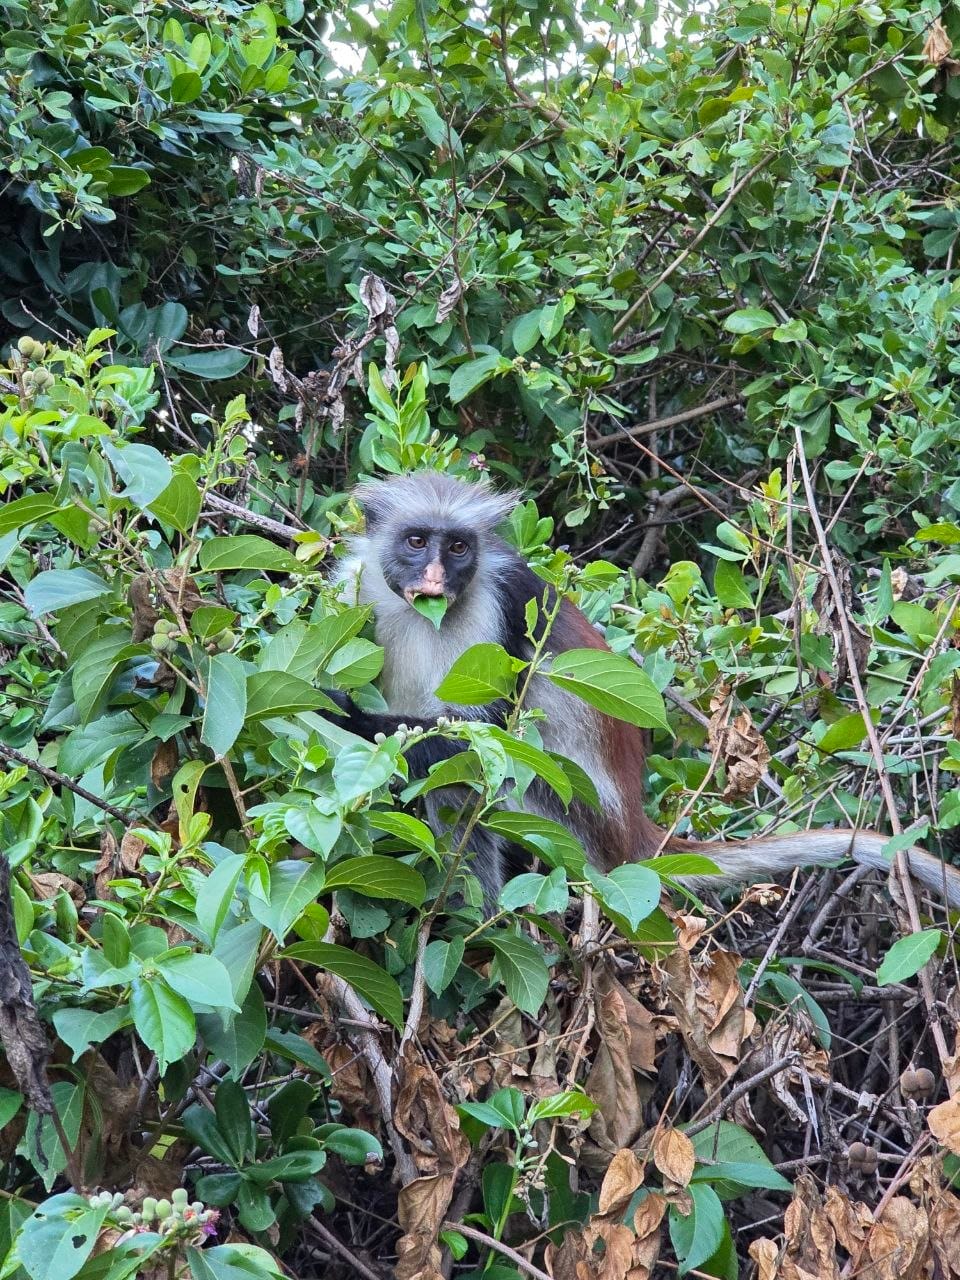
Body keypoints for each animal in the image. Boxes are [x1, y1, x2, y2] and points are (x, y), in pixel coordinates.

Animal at [325, 470, 960, 911]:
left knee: (484, 770)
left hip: (572, 815)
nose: (434, 577)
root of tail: (631, 828)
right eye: (416, 542)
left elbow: (489, 737)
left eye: (457, 548)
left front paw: (347, 718)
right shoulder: (358, 589)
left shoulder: (499, 603)